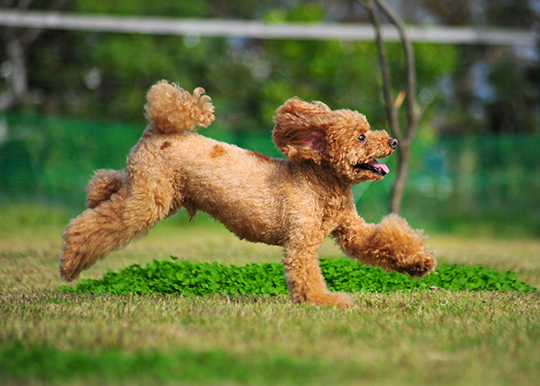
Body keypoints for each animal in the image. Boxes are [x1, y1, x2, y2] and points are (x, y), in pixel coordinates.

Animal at [59, 80, 436, 308]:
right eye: (360, 137)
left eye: (369, 130)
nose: (393, 141)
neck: (321, 181)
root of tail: (158, 129)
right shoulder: (302, 240)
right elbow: (305, 273)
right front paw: (326, 301)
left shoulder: (350, 230)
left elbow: (380, 240)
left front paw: (418, 263)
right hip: (149, 199)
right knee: (98, 223)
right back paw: (70, 262)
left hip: (150, 186)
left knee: (108, 182)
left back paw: (96, 192)